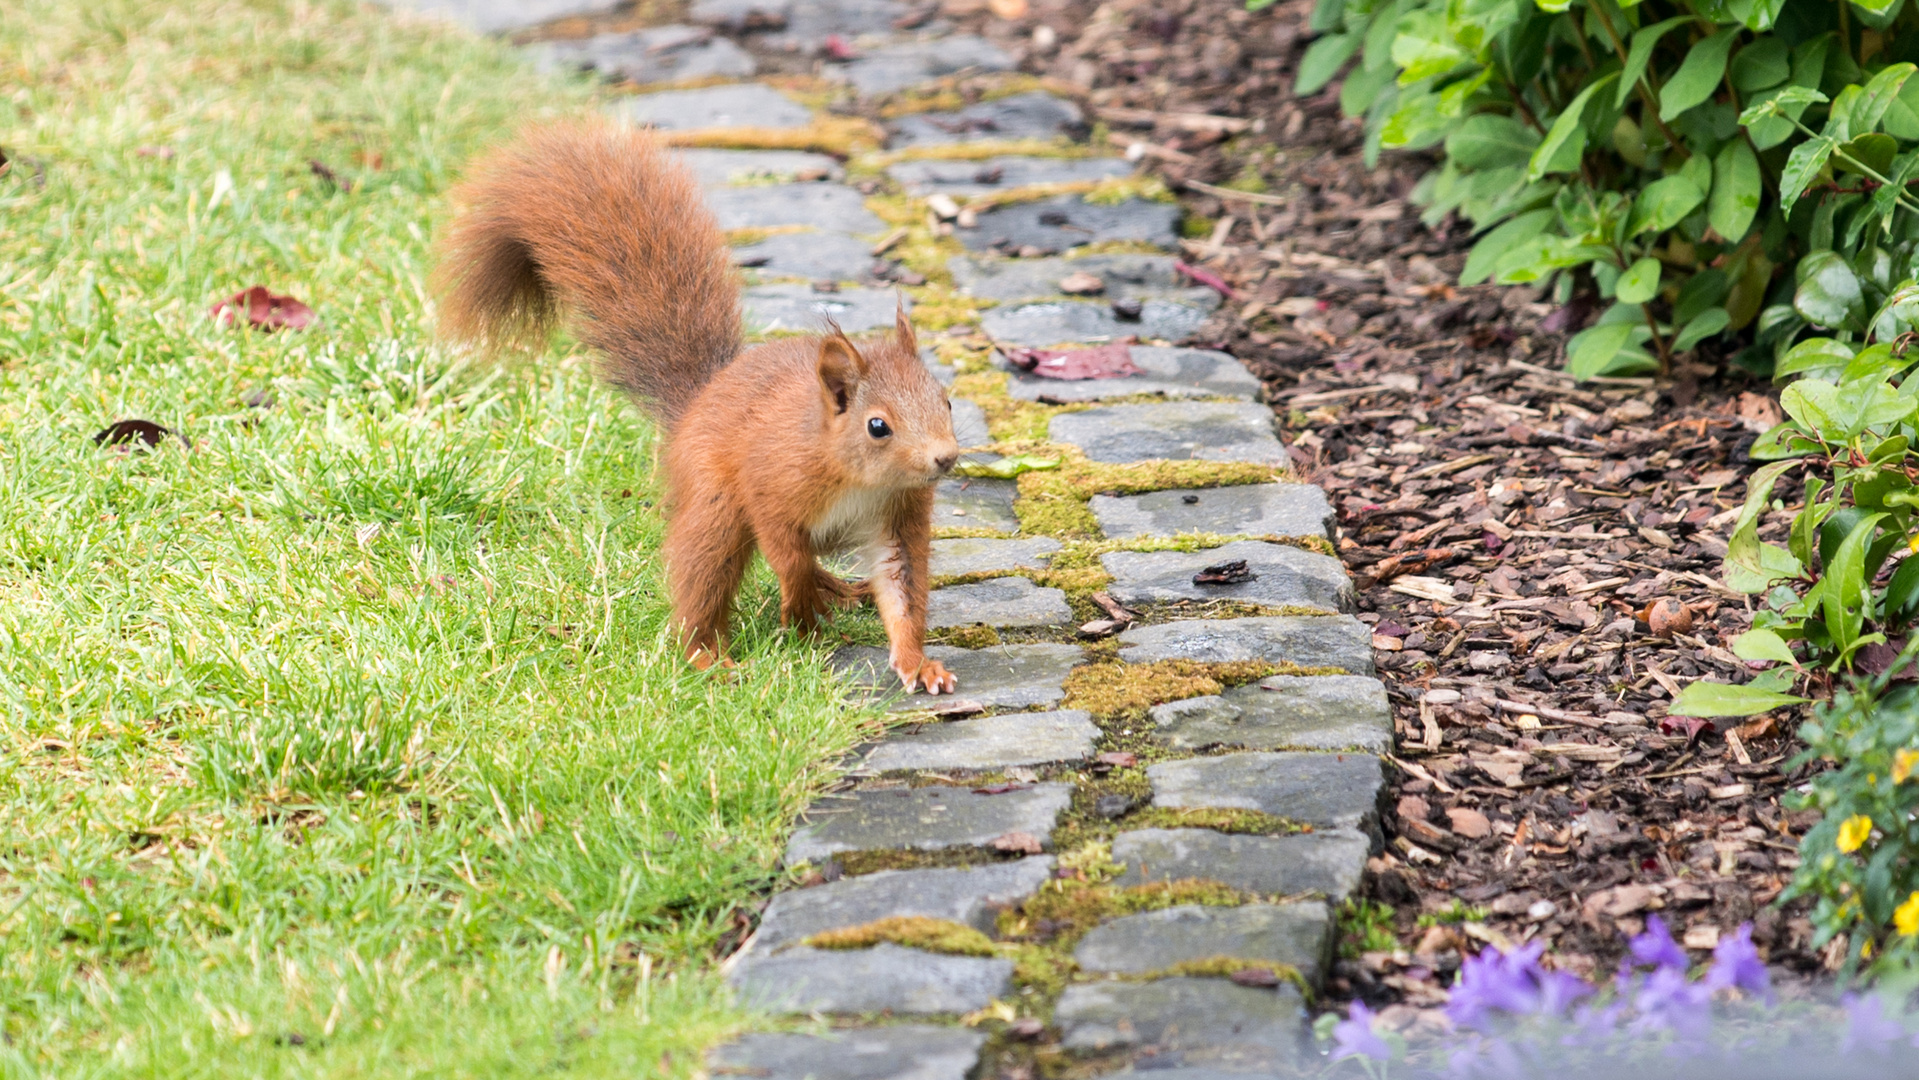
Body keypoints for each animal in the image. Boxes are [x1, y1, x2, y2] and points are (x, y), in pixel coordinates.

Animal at [433, 118, 959, 694]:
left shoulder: (898, 517)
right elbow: (786, 552)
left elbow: (903, 591)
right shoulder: (772, 481)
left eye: (947, 401)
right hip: (715, 507)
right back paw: (709, 655)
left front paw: (918, 663)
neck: (861, 479)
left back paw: (838, 588)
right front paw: (800, 608)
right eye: (877, 426)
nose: (945, 458)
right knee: (704, 578)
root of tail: (700, 402)